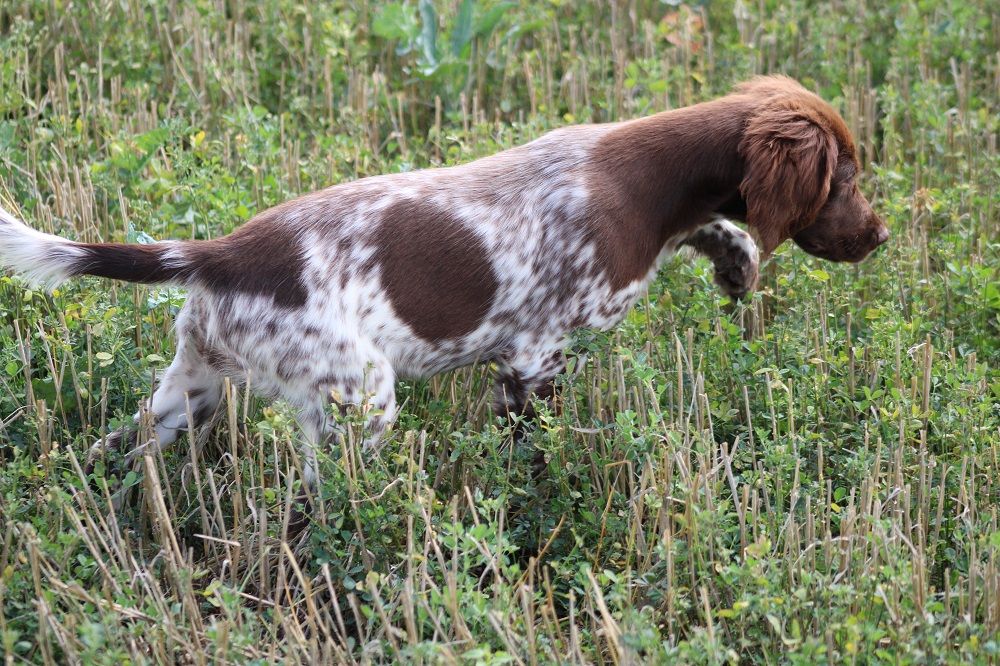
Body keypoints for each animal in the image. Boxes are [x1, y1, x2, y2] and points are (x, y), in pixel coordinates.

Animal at [0, 76, 892, 482]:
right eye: (843, 179)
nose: (881, 237)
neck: (640, 184)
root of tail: (221, 251)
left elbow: (720, 224)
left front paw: (737, 263)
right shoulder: (534, 360)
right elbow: (535, 448)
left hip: (187, 395)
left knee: (118, 453)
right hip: (360, 400)